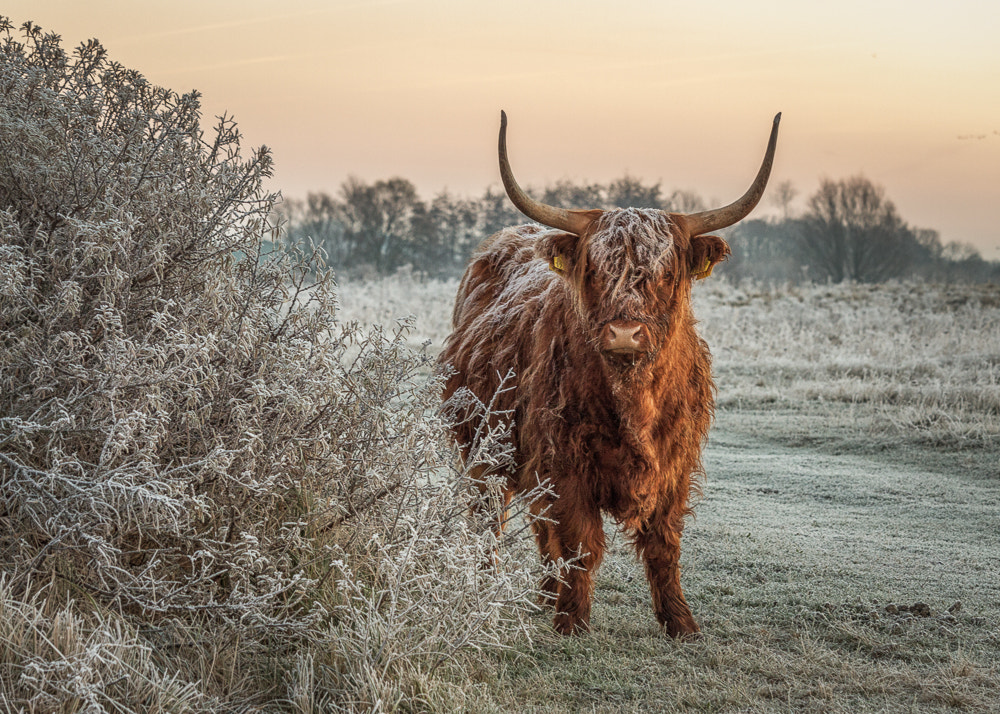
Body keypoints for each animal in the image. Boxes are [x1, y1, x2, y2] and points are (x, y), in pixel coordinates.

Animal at [440, 111, 780, 637]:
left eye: (666, 272)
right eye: (596, 269)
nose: (624, 334)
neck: (634, 399)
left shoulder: (674, 466)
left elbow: (663, 546)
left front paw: (680, 622)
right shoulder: (564, 462)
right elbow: (579, 542)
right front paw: (572, 622)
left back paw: (545, 592)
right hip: (485, 448)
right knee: (490, 518)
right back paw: (490, 590)